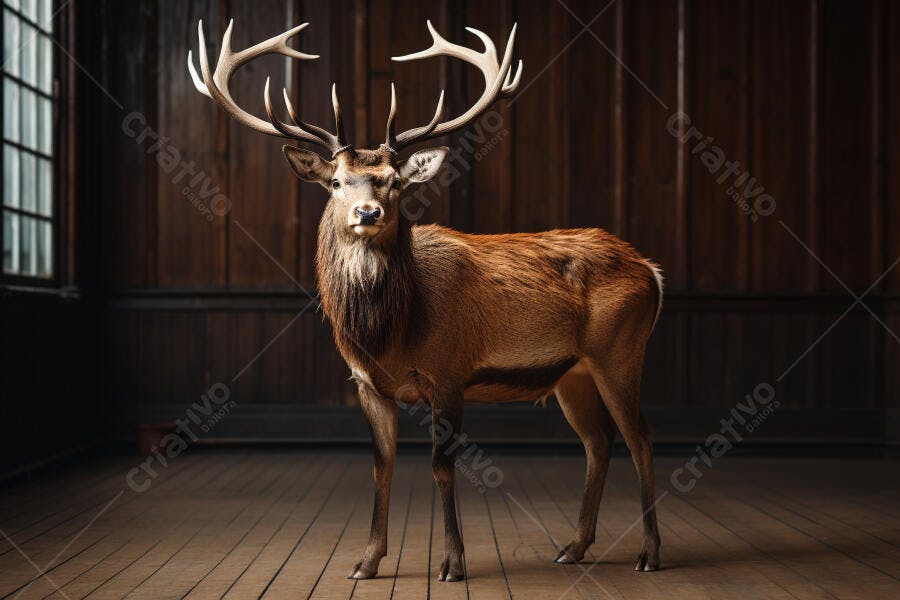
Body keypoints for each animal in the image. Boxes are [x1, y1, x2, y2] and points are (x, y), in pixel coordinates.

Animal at [189, 18, 663, 582]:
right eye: (335, 181)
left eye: (394, 182)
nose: (368, 212)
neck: (391, 334)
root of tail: (651, 271)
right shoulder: (367, 383)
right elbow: (381, 464)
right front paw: (367, 561)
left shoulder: (449, 372)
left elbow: (441, 466)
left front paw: (453, 562)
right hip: (573, 374)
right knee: (599, 442)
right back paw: (574, 546)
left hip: (620, 353)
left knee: (640, 438)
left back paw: (649, 554)